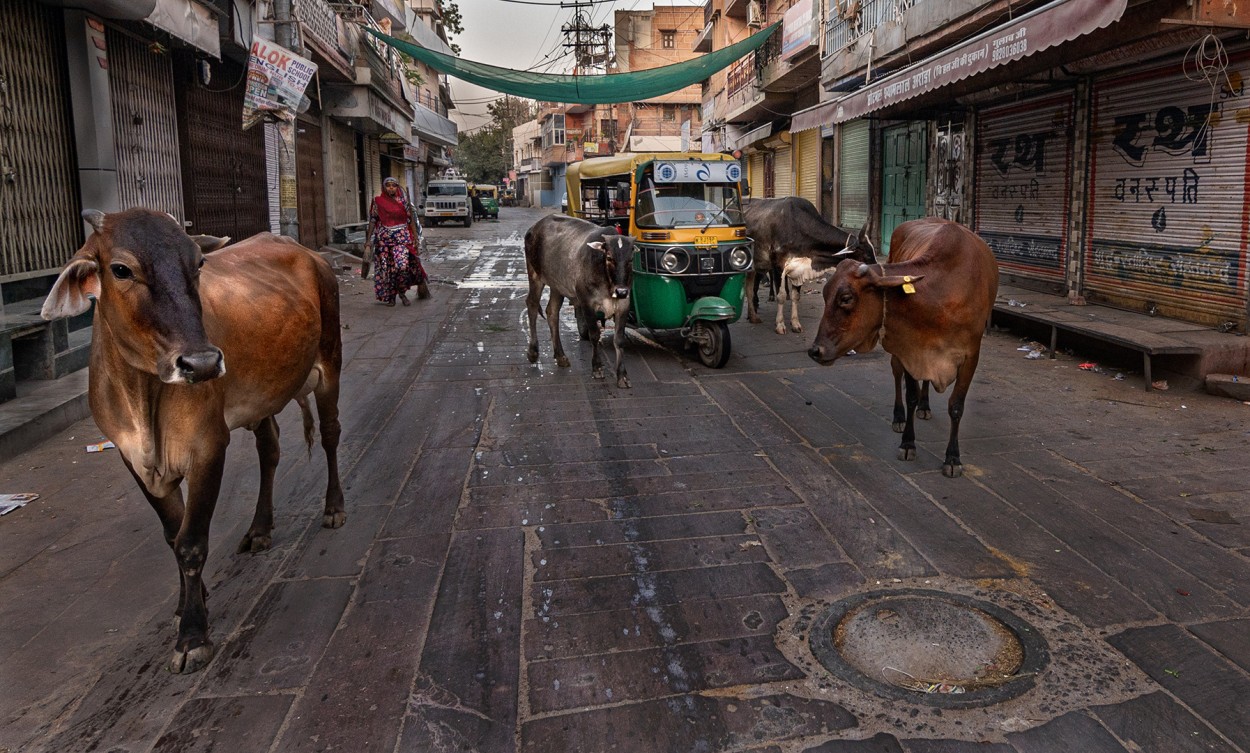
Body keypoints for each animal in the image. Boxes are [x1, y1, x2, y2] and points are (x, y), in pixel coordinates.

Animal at [41, 205, 345, 670]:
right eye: (121, 269)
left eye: (199, 264)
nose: (201, 363)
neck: (142, 394)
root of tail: (309, 253)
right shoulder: (132, 458)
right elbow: (173, 533)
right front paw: (188, 602)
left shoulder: (207, 448)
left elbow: (191, 542)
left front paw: (192, 635)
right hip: (260, 399)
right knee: (270, 449)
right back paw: (260, 528)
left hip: (330, 364)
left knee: (330, 436)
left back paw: (334, 507)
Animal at [522, 211, 635, 387]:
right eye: (609, 257)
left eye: (630, 259)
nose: (621, 291)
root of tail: (535, 227)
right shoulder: (586, 303)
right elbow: (594, 335)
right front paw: (597, 368)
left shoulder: (623, 305)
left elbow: (619, 340)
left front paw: (622, 376)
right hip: (535, 276)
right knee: (532, 305)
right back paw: (533, 352)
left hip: (557, 286)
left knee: (552, 312)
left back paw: (560, 356)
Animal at [810, 216, 995, 475]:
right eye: (825, 295)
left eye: (846, 298)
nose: (816, 350)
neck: (941, 295)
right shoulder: (908, 346)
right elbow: (910, 396)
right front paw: (908, 442)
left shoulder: (970, 356)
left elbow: (956, 406)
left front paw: (952, 457)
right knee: (897, 376)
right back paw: (899, 417)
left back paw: (926, 406)